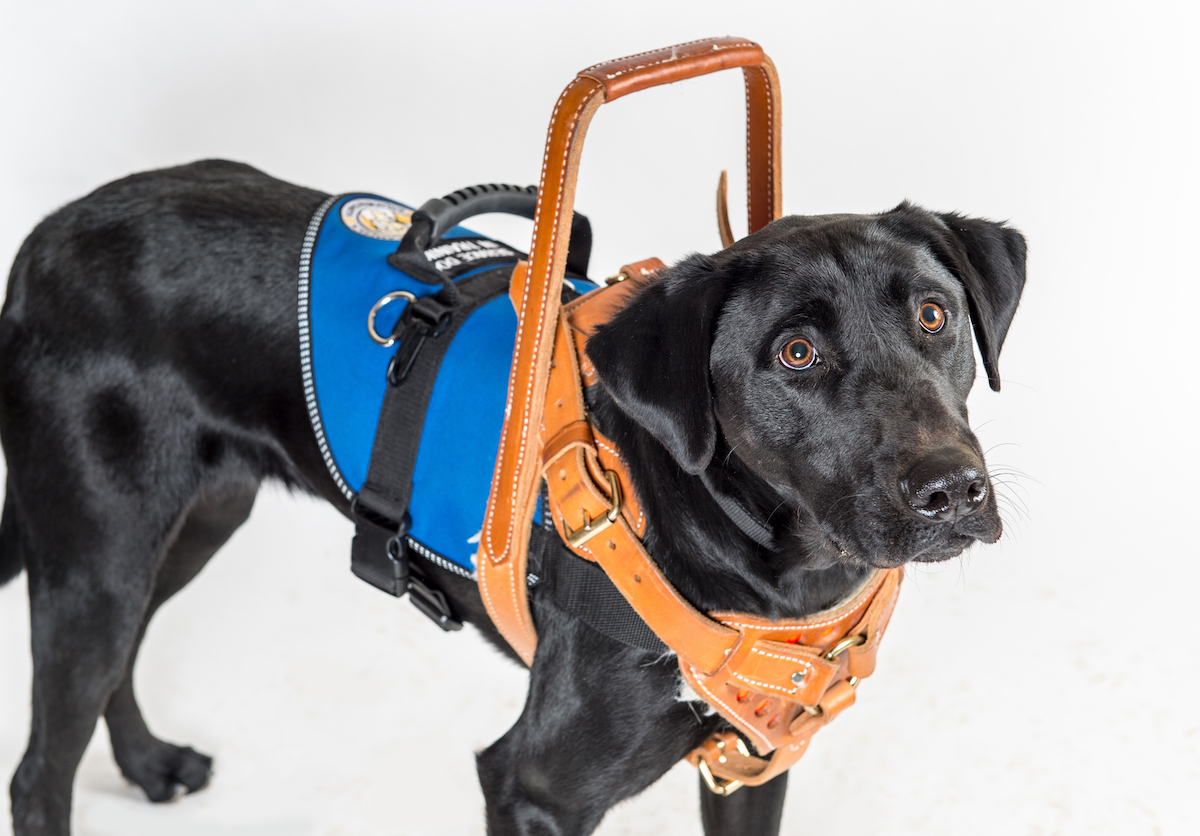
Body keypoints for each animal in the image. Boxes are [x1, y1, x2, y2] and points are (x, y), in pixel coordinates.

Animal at [2, 158, 1022, 834]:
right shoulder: (532, 789)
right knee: (41, 768)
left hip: (189, 523)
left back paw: (147, 767)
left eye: (934, 315)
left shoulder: (753, 763)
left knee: (120, 657)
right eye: (796, 354)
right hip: (98, 549)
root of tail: (44, 236)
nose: (950, 488)